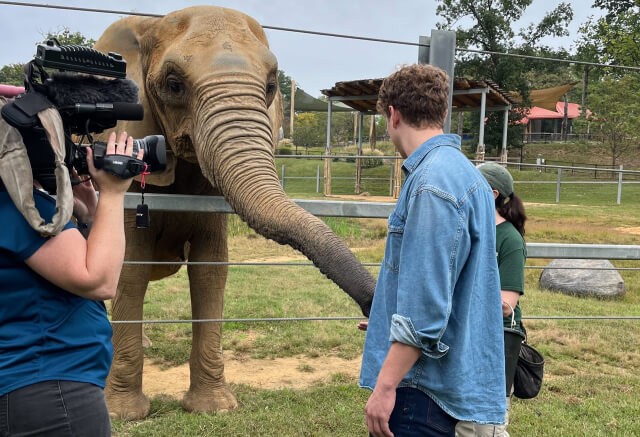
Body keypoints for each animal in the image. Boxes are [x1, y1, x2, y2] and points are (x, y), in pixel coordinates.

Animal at [92, 5, 376, 420]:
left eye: (272, 85)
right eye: (173, 84)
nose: (367, 320)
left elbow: (211, 268)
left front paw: (213, 409)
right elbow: (132, 266)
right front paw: (123, 414)